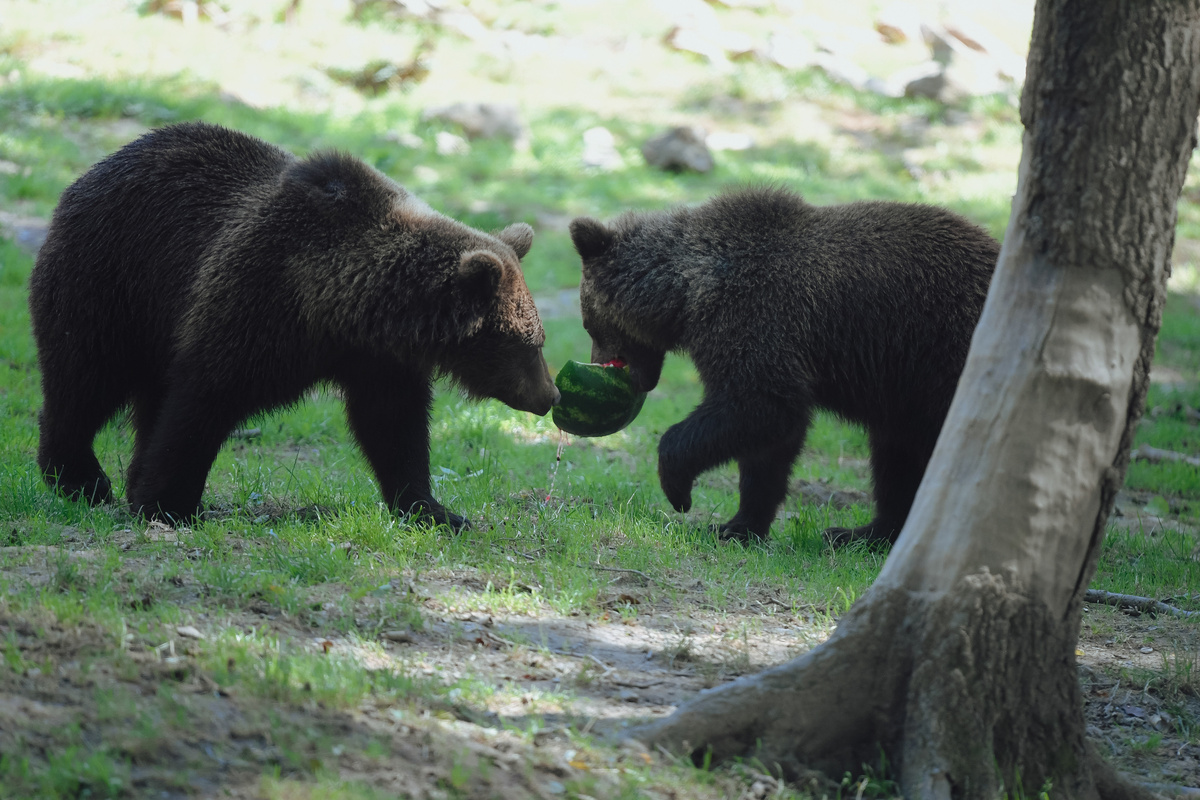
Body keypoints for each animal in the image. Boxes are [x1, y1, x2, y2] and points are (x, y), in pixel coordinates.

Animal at [30, 120, 559, 525]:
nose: (550, 395)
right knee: (84, 377)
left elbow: (394, 428)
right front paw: (166, 503)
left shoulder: (377, 361)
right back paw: (81, 479)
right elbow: (201, 403)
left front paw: (434, 510)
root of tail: (95, 168)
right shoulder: (256, 308)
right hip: (113, 285)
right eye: (527, 342)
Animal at [566, 187, 998, 546]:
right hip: (909, 389)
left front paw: (679, 490)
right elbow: (770, 445)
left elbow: (763, 405)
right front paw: (737, 526)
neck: (688, 288)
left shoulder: (757, 317)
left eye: (589, 323)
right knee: (896, 457)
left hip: (942, 357)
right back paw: (860, 533)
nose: (598, 361)